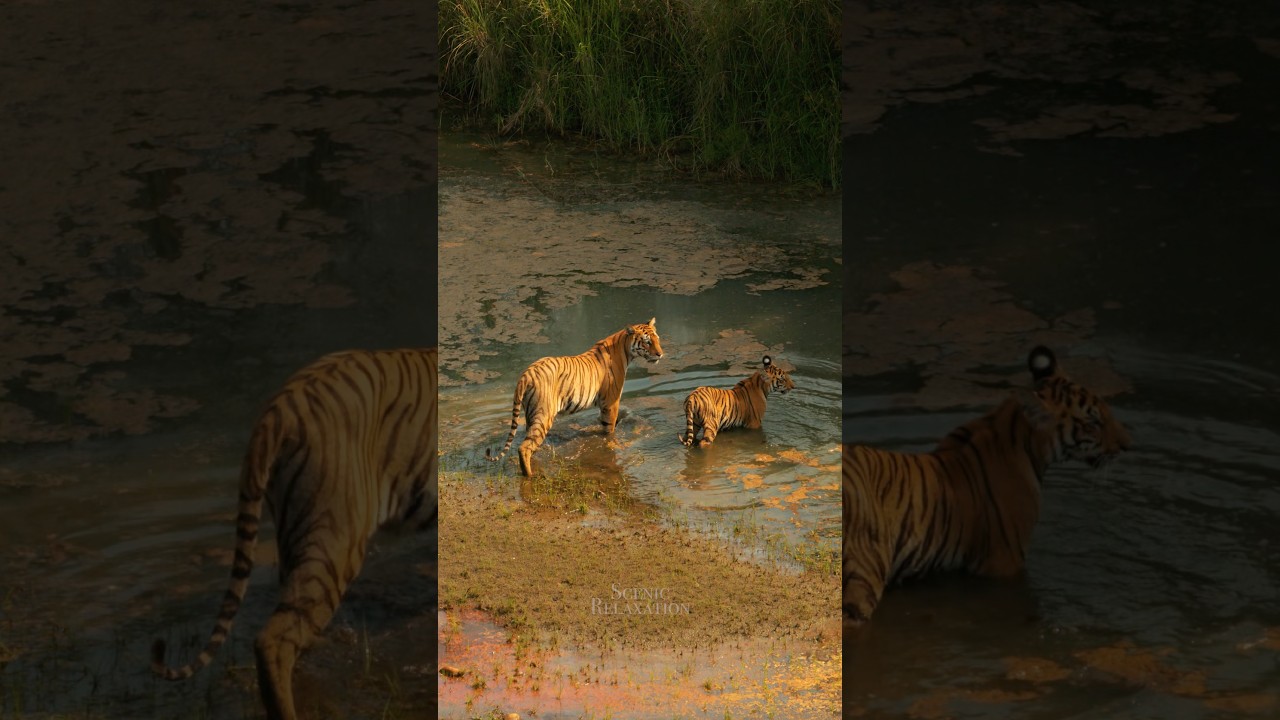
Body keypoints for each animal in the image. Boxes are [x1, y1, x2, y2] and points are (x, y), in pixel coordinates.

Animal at [487, 317, 663, 477]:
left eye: (657, 339)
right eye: (647, 342)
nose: (660, 354)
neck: (624, 349)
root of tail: (526, 375)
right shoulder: (611, 402)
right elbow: (610, 430)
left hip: (531, 415)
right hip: (544, 415)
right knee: (524, 448)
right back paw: (530, 475)